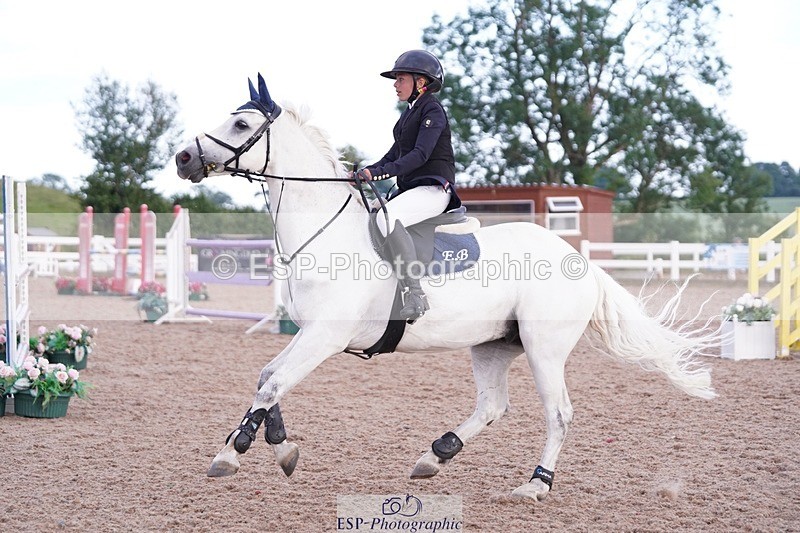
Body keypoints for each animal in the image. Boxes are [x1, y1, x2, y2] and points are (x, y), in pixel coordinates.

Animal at [174, 74, 717, 501]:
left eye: (240, 126)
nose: (182, 158)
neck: (326, 231)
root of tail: (579, 260)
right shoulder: (308, 333)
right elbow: (267, 377)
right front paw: (281, 447)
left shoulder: (325, 337)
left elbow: (273, 383)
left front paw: (232, 453)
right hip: (494, 345)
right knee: (493, 405)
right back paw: (436, 455)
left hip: (544, 348)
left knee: (559, 413)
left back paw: (535, 485)